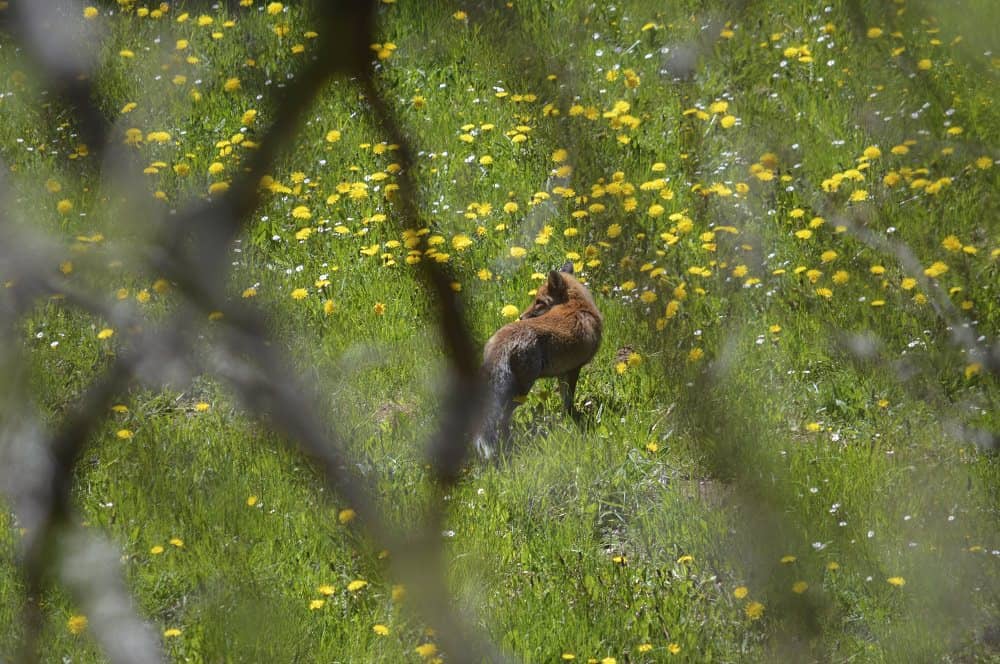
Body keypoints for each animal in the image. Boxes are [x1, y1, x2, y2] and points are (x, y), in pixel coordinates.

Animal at [474, 262, 602, 459]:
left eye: (539, 302)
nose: (521, 316)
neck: (577, 305)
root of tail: (501, 340)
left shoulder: (562, 373)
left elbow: (564, 401)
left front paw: (565, 420)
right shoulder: (574, 369)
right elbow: (569, 401)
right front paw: (572, 420)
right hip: (521, 390)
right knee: (502, 418)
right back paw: (509, 445)